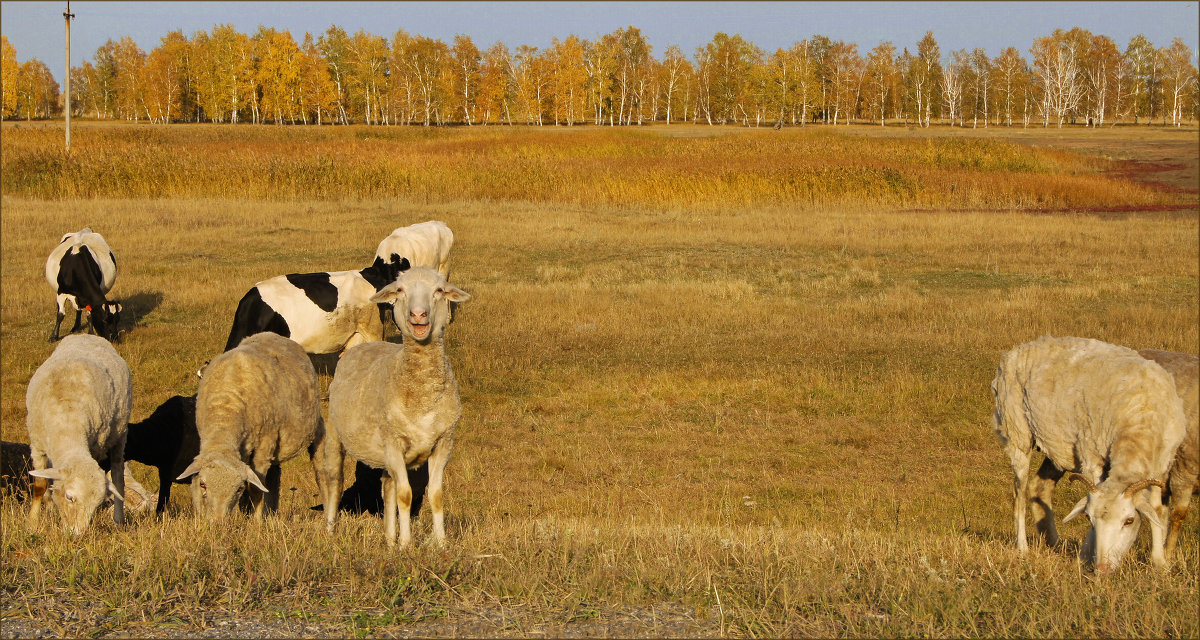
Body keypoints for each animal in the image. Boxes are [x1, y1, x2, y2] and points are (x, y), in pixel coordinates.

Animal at [25, 331, 132, 535]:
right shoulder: (38, 445)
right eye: (69, 497)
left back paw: (118, 520)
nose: (77, 534)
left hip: (119, 434)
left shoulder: (95, 445)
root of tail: (88, 335)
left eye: (96, 504)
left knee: (117, 477)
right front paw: (33, 522)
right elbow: (40, 486)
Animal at [175, 331, 333, 516]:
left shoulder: (265, 444)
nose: (218, 522)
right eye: (203, 484)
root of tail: (272, 334)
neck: (226, 409)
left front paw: (256, 521)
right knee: (274, 478)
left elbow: (256, 490)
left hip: (314, 429)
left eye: (237, 488)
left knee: (320, 472)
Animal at [324, 266, 472, 547]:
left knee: (387, 485)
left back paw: (389, 539)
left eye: (439, 290)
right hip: (335, 436)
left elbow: (435, 494)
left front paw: (440, 543)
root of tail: (361, 345)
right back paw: (330, 531)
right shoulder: (393, 443)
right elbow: (405, 495)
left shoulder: (443, 442)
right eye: (401, 290)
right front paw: (407, 544)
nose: (418, 315)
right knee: (335, 483)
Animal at [988, 336, 1185, 571]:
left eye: (1129, 520)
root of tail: (1019, 349)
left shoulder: (1161, 466)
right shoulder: (1092, 457)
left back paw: (1054, 543)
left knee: (1039, 486)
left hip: (1058, 444)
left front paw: (1160, 562)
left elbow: (1156, 510)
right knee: (1020, 493)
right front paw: (1086, 554)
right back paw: (1023, 548)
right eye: (1089, 520)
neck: (1141, 417)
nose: (1102, 568)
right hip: (1017, 433)